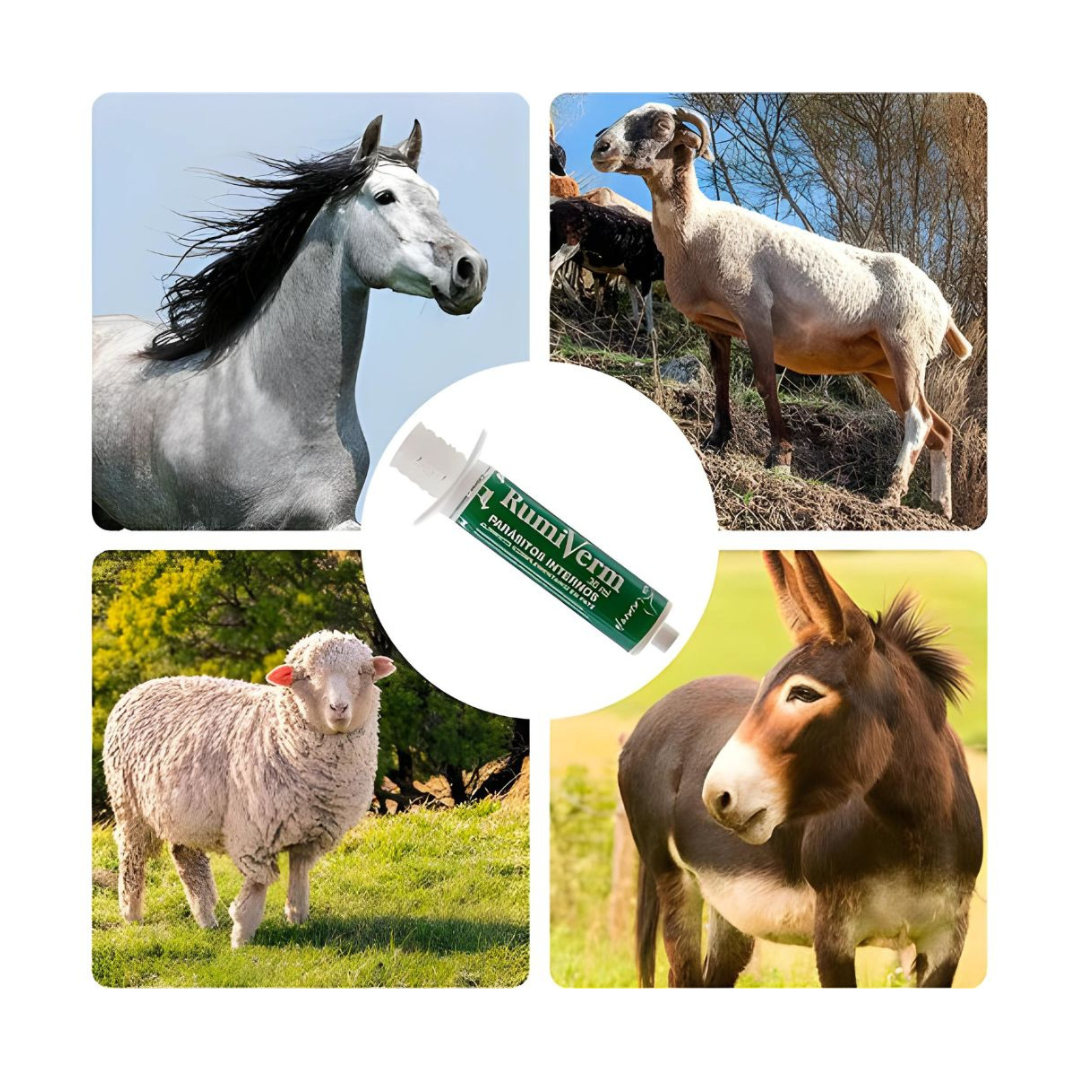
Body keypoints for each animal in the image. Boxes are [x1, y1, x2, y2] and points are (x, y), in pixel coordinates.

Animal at [103, 629, 396, 947]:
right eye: (305, 676)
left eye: (363, 673)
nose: (339, 708)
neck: (277, 731)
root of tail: (137, 688)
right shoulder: (255, 833)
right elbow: (258, 885)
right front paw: (242, 936)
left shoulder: (310, 830)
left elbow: (299, 872)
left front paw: (297, 917)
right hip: (128, 805)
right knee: (132, 857)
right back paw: (132, 915)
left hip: (185, 811)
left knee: (187, 859)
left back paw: (206, 919)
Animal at [550, 197, 664, 341]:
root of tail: (555, 206)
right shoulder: (646, 275)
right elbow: (647, 305)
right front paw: (650, 333)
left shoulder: (630, 276)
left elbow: (634, 301)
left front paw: (636, 327)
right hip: (567, 246)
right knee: (552, 269)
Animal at [592, 102, 972, 518]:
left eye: (661, 125)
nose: (601, 148)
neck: (695, 227)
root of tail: (944, 308)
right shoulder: (716, 324)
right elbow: (721, 379)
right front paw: (716, 440)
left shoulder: (754, 310)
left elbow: (763, 381)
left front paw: (780, 456)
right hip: (883, 367)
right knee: (940, 429)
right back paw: (941, 507)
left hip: (906, 344)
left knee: (919, 420)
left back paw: (891, 492)